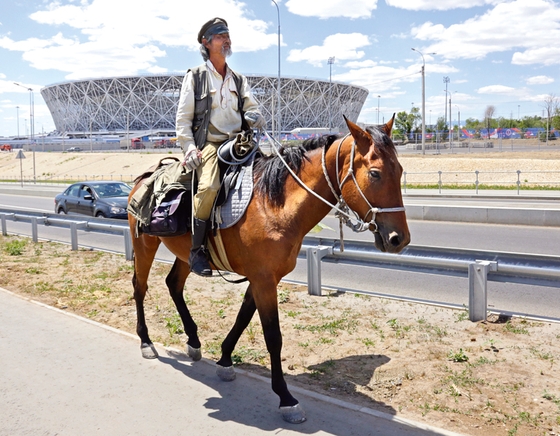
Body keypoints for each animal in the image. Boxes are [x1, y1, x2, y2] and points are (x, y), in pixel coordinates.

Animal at [128, 116, 412, 422]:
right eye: (375, 174)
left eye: (400, 171)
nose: (399, 239)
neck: (275, 207)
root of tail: (143, 177)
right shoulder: (264, 281)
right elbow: (273, 336)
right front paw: (286, 397)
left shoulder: (261, 279)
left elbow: (242, 318)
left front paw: (225, 360)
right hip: (144, 245)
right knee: (140, 288)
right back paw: (146, 341)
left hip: (185, 256)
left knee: (173, 284)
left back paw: (193, 340)